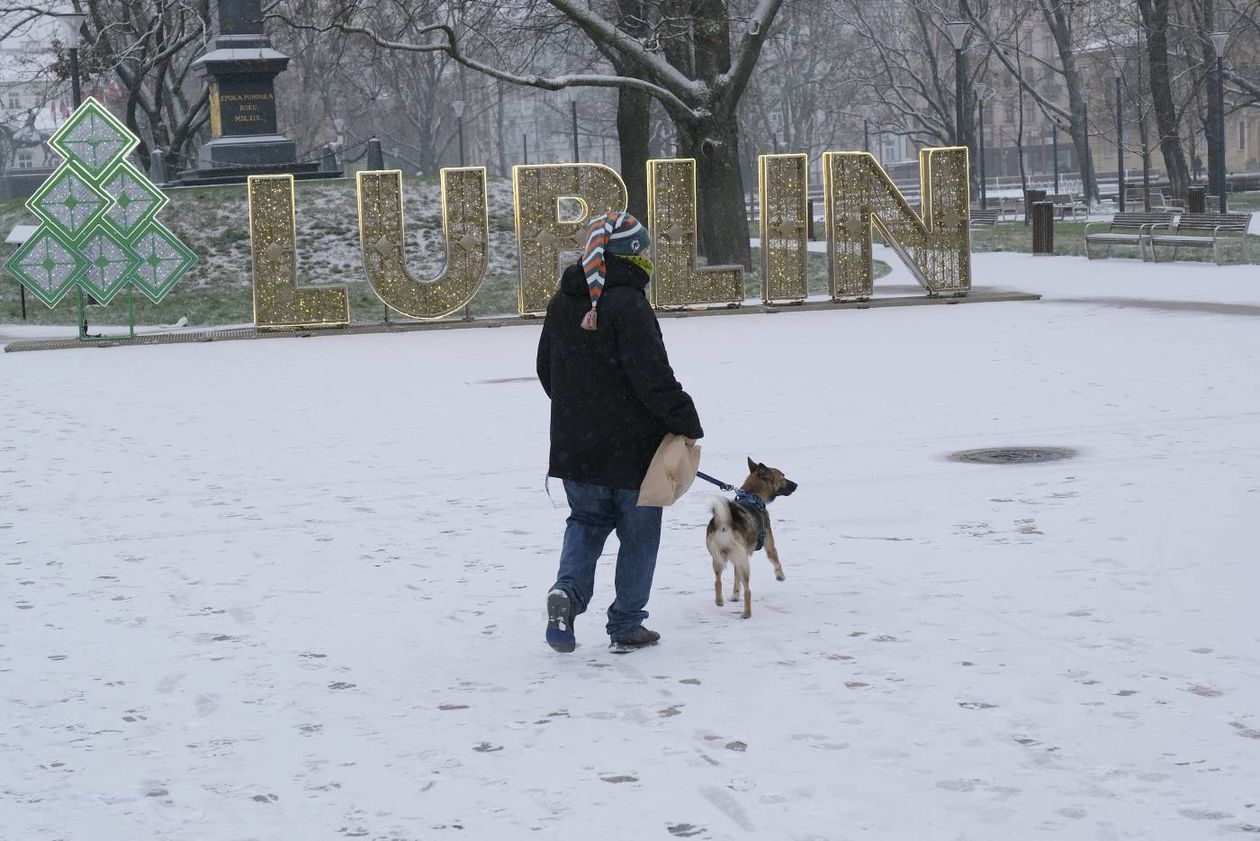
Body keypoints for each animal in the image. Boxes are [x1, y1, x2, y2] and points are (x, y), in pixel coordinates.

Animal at [710, 461, 796, 617]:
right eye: (783, 476)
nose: (796, 484)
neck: (752, 495)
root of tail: (725, 524)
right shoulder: (769, 543)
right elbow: (775, 559)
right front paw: (780, 576)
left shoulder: (737, 559)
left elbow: (736, 578)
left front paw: (734, 595)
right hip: (745, 563)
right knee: (748, 591)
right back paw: (746, 614)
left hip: (717, 558)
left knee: (717, 581)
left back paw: (719, 600)